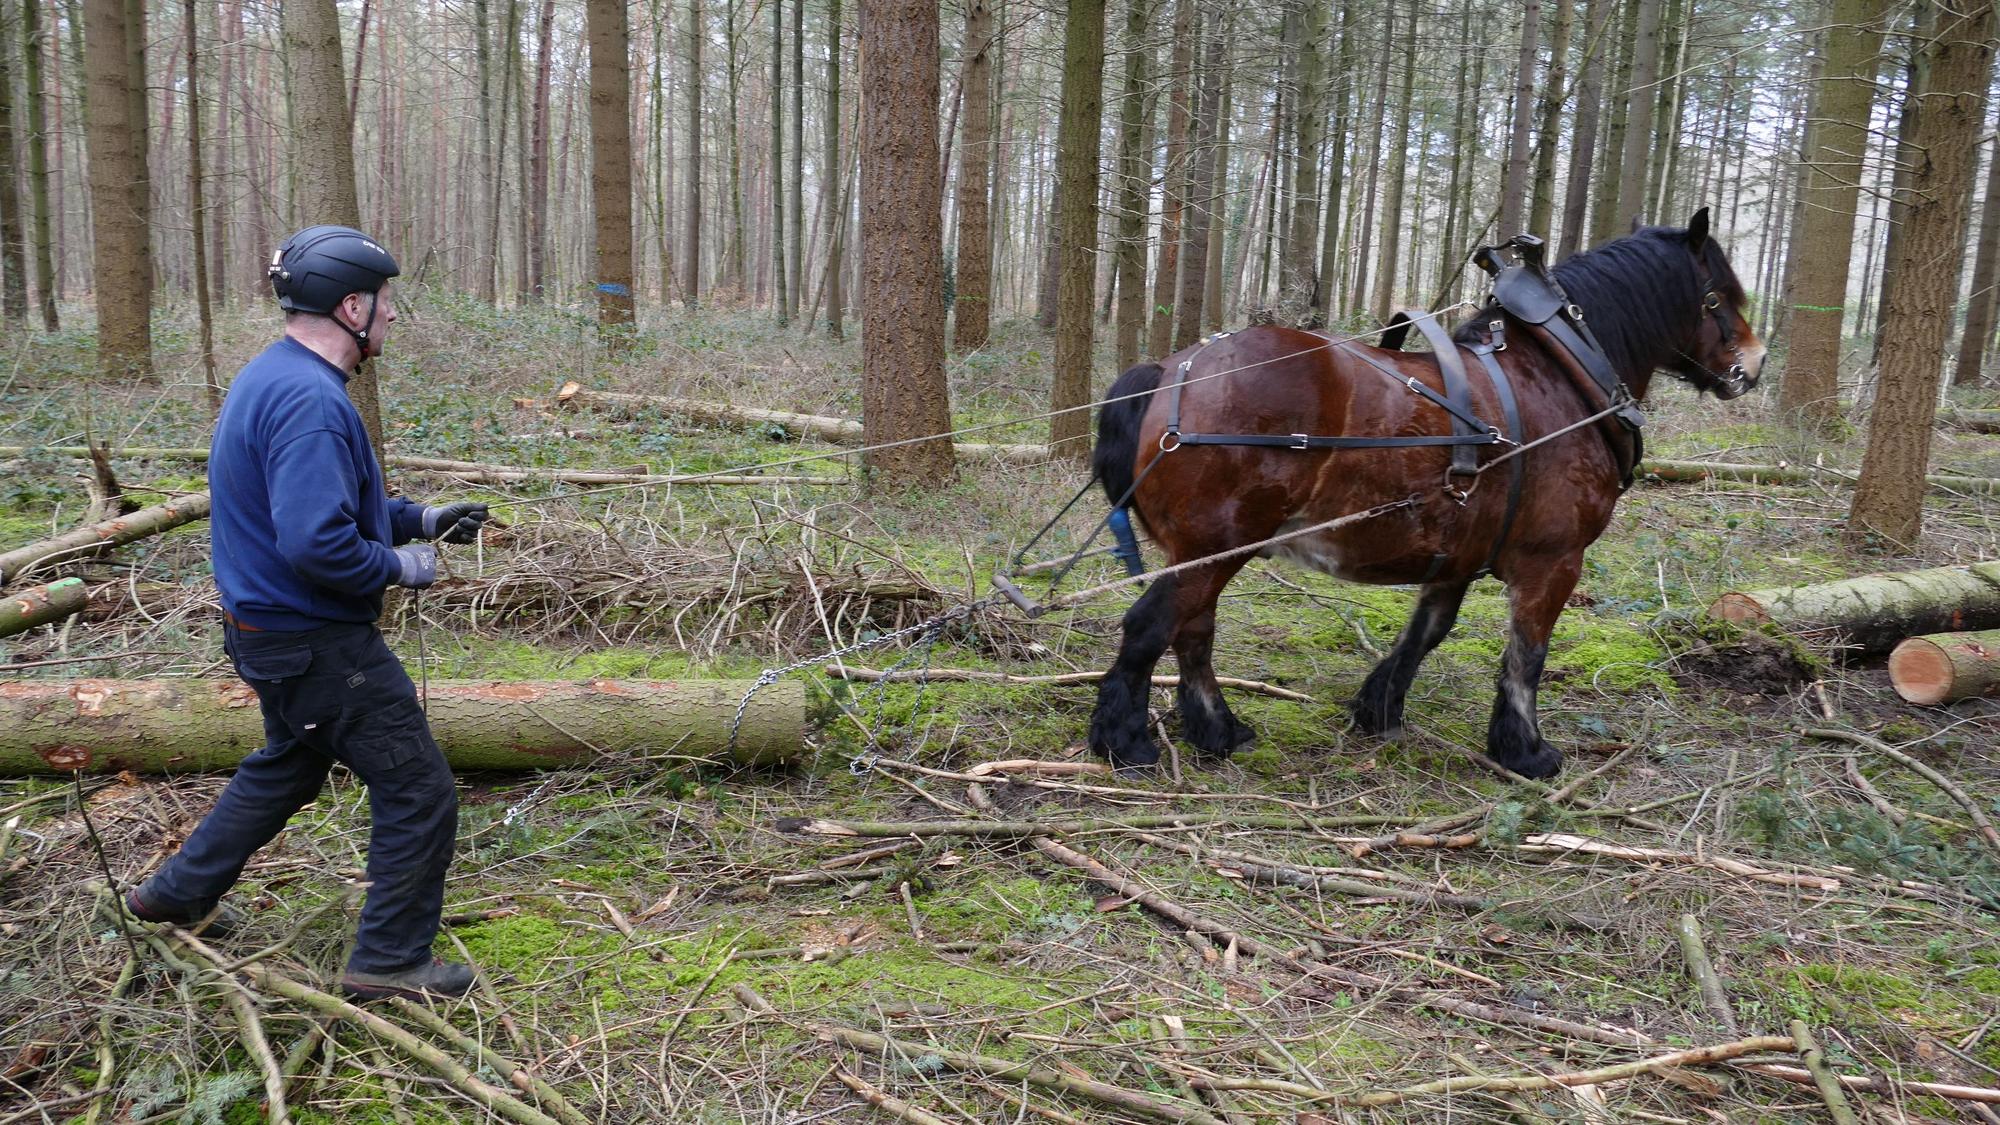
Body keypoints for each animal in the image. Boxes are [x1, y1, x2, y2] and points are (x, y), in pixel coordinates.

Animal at [1087, 208, 1764, 779]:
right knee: (1152, 627)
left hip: (1208, 552)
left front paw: (1379, 707)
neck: (1564, 372)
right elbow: (1528, 654)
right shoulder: (1554, 560)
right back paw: (1126, 741)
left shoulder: (1459, 552)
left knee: (1193, 631)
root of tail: (1170, 373)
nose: (1753, 366)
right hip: (1215, 547)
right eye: (1717, 296)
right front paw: (1526, 750)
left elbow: (1426, 632)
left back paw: (1218, 730)